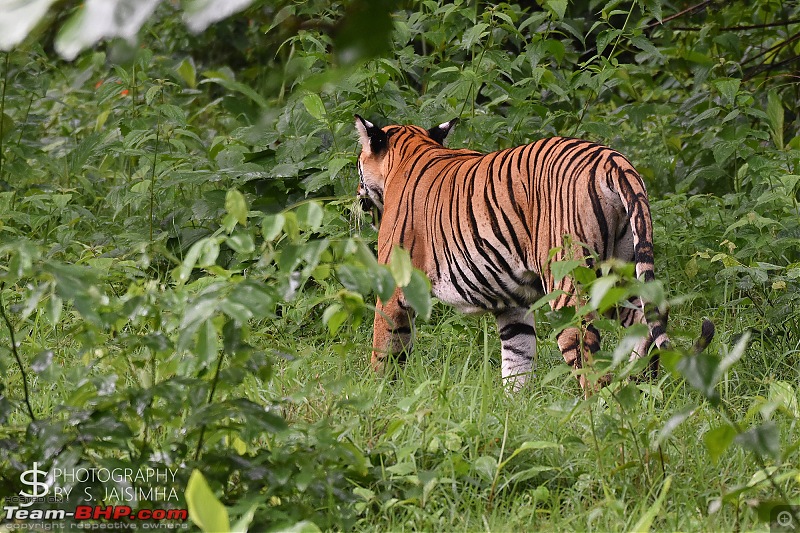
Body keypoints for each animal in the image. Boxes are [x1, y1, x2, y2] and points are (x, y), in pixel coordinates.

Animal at [354, 116, 716, 390]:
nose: (358, 194)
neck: (411, 151)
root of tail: (613, 160)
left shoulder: (394, 288)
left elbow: (384, 350)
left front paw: (377, 396)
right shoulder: (512, 302)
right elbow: (517, 358)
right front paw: (513, 413)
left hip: (569, 284)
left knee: (590, 360)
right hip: (618, 273)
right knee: (651, 316)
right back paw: (641, 382)